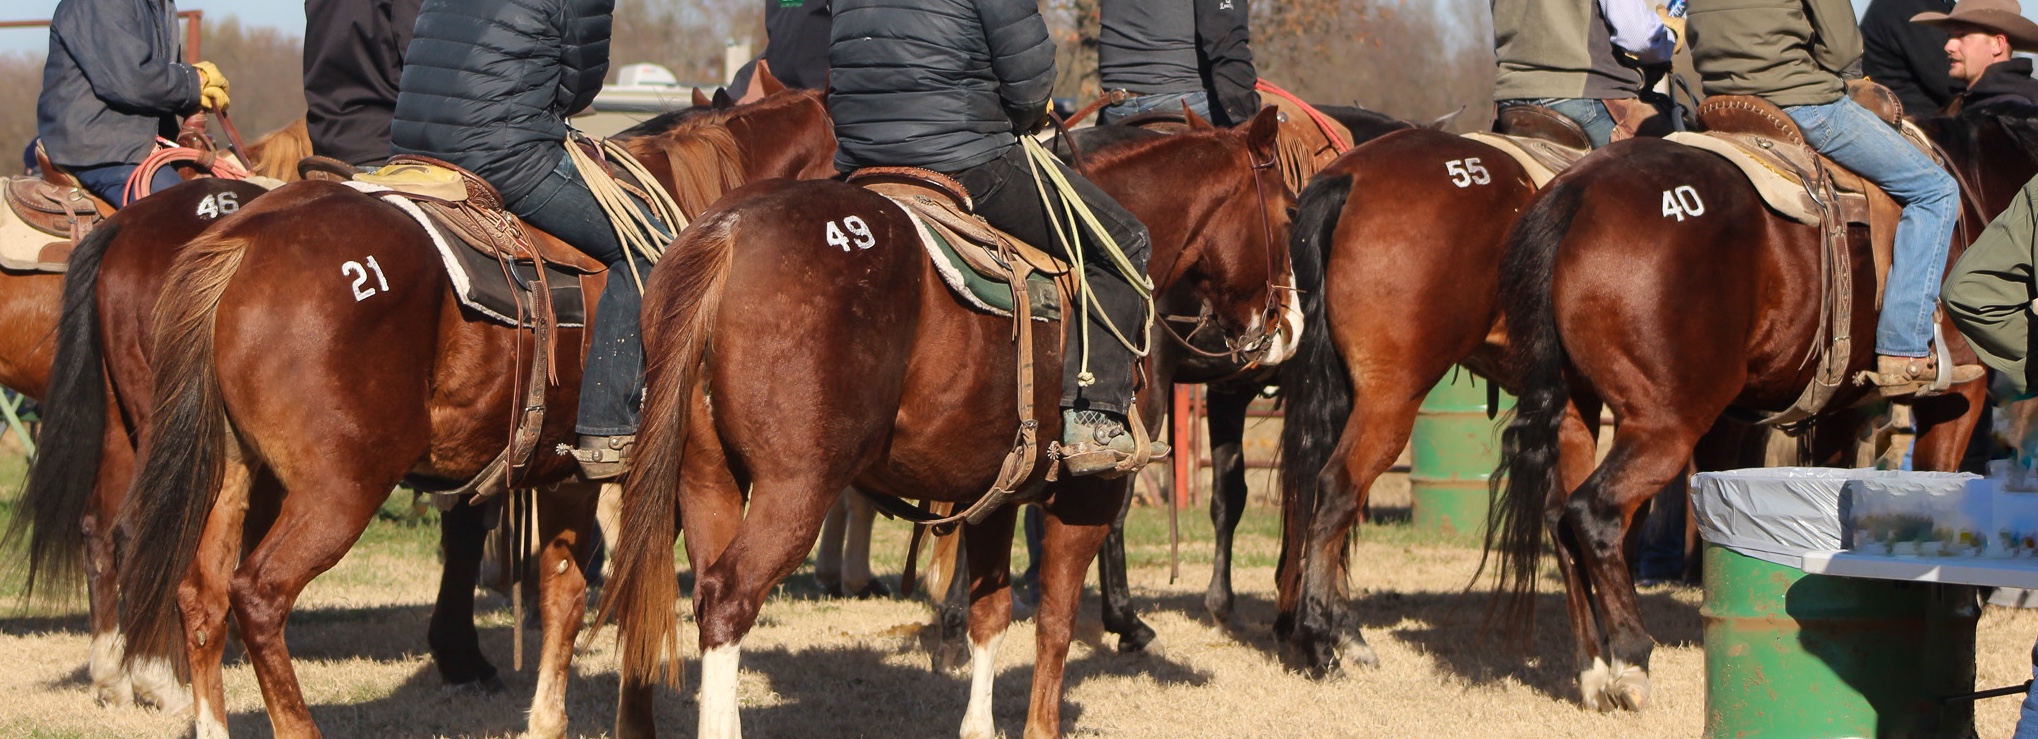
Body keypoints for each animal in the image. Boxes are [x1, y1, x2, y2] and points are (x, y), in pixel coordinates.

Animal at [107, 87, 836, 738]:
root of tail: (246, 242)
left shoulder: (569, 479)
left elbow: (566, 596)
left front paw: (547, 721)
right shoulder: (660, 479)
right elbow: (639, 594)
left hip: (229, 474)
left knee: (199, 597)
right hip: (337, 489)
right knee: (257, 596)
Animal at [598, 108, 1294, 738]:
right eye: (1289, 212)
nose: (1285, 328)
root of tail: (728, 233)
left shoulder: (995, 493)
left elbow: (991, 615)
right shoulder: (1087, 497)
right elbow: (1056, 619)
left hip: (706, 480)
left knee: (694, 592)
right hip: (795, 489)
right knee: (728, 598)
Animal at [1486, 106, 2038, 710]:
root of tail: (1579, 191)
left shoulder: (1838, 415)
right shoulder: (1958, 399)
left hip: (1578, 413)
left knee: (1561, 520)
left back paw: (1592, 669)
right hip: (1666, 422)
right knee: (1595, 513)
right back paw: (1631, 661)